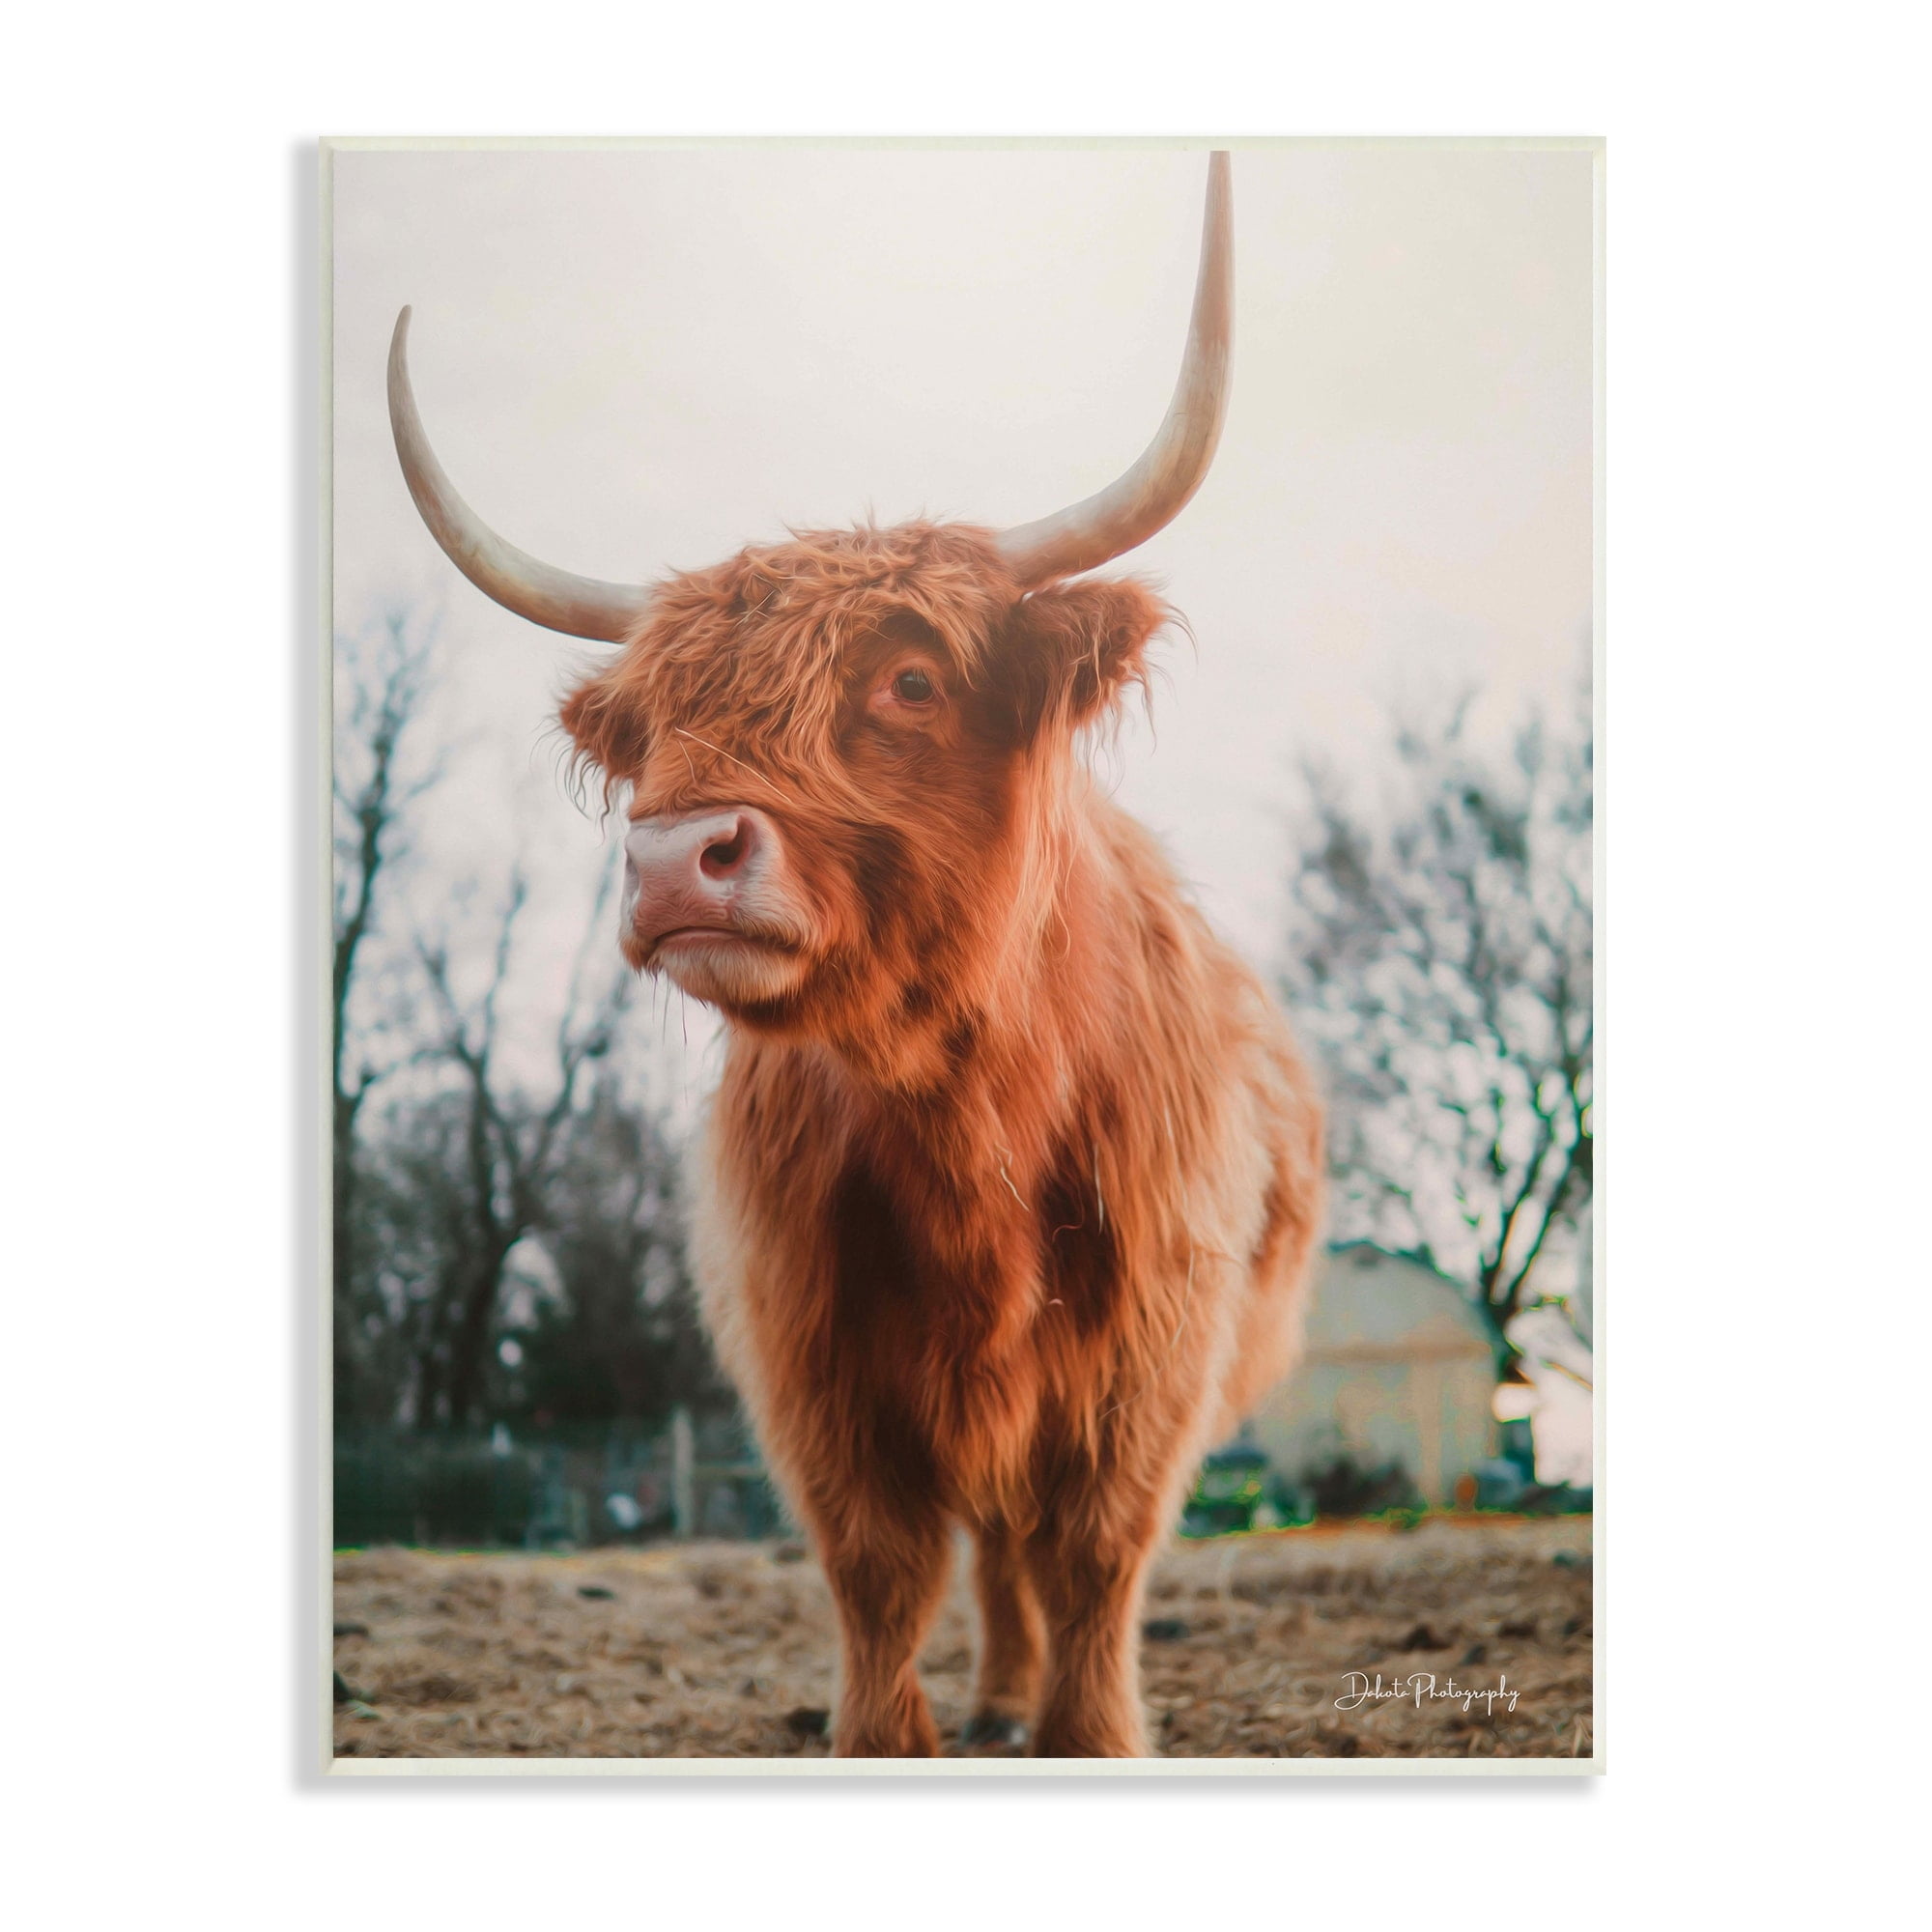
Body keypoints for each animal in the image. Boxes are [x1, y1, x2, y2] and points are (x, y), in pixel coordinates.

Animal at [386, 153, 1324, 1757]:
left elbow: (1094, 1559)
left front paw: (1084, 1735)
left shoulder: (1148, 1354)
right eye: (654, 719)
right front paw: (895, 1737)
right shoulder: (810, 1356)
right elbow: (880, 1570)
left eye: (912, 680)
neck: (970, 1125)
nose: (671, 858)